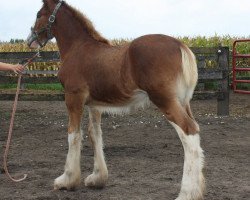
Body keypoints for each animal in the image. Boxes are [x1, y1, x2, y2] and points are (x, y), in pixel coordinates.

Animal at [26, 0, 205, 199]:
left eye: (38, 14)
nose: (30, 40)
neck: (77, 48)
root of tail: (180, 45)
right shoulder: (94, 104)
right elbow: (94, 134)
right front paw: (97, 178)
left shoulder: (73, 98)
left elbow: (73, 134)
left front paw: (66, 180)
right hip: (183, 102)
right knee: (195, 131)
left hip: (165, 101)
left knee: (188, 132)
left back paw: (186, 193)